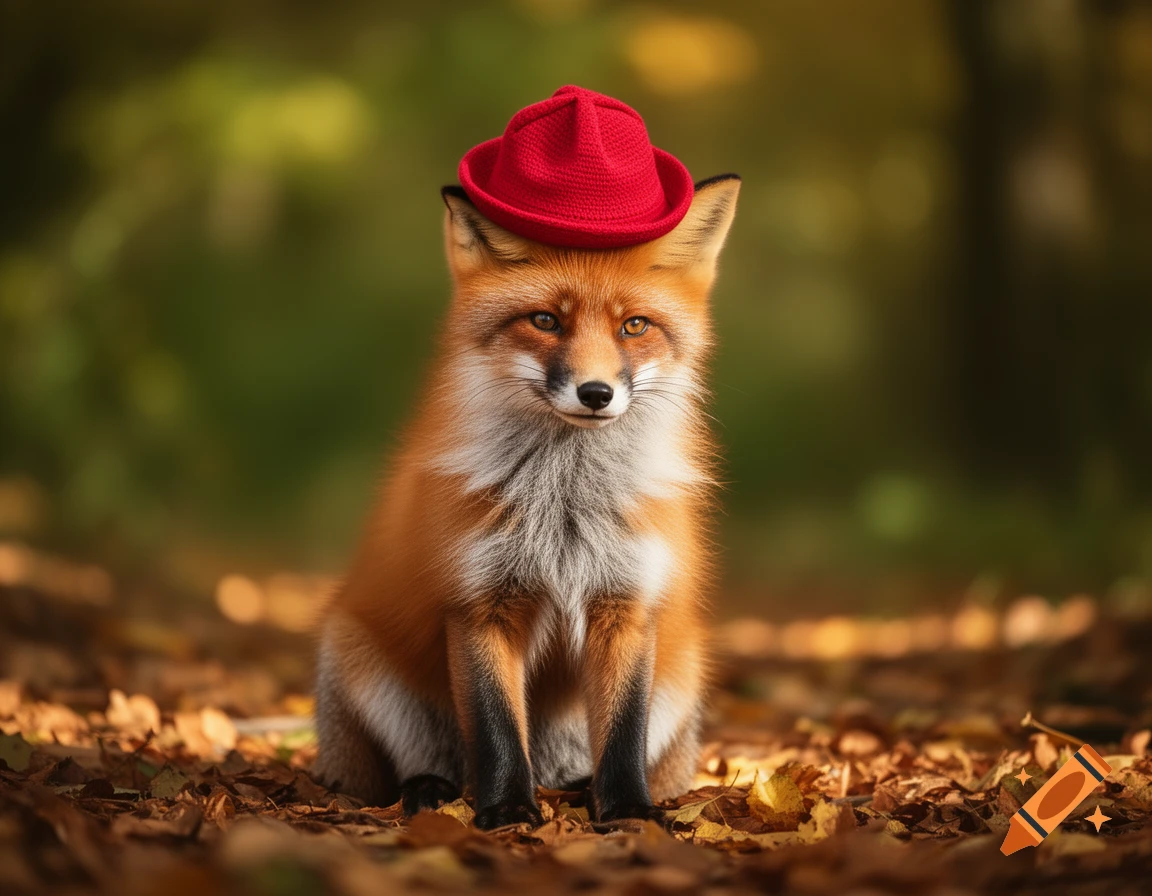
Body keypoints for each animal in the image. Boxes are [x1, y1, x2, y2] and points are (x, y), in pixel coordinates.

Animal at [313, 173, 740, 828]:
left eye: (634, 327)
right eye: (545, 320)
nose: (596, 393)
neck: (565, 504)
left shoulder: (627, 604)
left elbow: (624, 730)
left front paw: (627, 810)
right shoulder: (477, 604)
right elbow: (495, 729)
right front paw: (509, 811)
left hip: (685, 664)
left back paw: (583, 790)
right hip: (357, 654)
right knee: (420, 770)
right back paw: (432, 792)